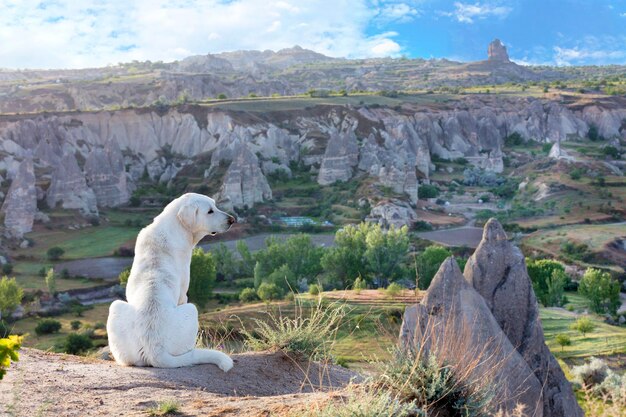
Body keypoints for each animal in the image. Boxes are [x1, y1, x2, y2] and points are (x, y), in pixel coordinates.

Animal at [107, 193, 234, 370]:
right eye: (210, 211)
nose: (232, 220)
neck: (175, 226)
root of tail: (155, 348)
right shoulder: (183, 295)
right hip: (192, 310)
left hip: (116, 308)